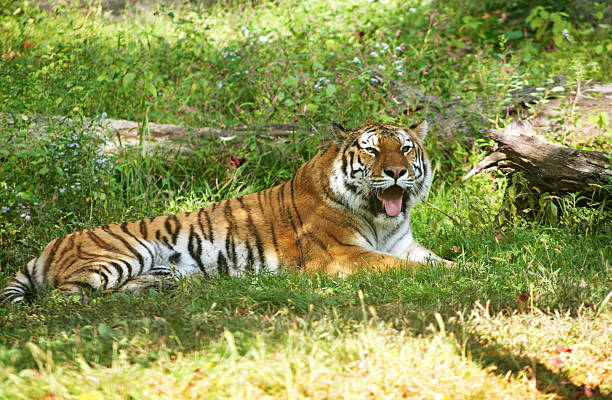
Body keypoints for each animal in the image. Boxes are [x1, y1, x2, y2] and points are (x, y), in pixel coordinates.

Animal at [0, 121, 450, 304]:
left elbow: (441, 261)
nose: (397, 172)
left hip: (154, 267)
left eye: (405, 148)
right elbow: (402, 268)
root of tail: (46, 247)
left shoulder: (406, 245)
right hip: (123, 254)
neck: (379, 218)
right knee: (63, 298)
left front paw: (464, 269)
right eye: (372, 151)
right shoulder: (342, 254)